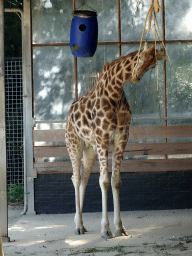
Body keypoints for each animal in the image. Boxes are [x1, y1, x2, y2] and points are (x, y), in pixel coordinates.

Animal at [65, 43, 164, 238]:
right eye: (140, 57)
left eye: (153, 65)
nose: (135, 77)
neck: (115, 90)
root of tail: (67, 116)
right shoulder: (103, 137)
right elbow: (103, 181)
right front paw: (105, 229)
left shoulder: (121, 138)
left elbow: (115, 181)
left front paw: (120, 227)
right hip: (74, 145)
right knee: (76, 178)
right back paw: (78, 226)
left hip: (90, 149)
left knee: (83, 177)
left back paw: (79, 222)